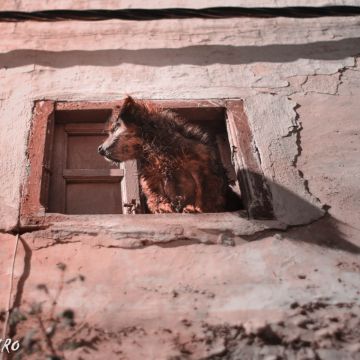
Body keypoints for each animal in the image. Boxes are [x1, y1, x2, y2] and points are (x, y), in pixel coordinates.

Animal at [97, 96, 236, 214]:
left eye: (116, 128)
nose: (99, 149)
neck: (157, 151)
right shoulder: (151, 181)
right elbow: (158, 199)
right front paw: (164, 209)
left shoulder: (206, 172)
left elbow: (205, 195)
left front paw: (195, 209)